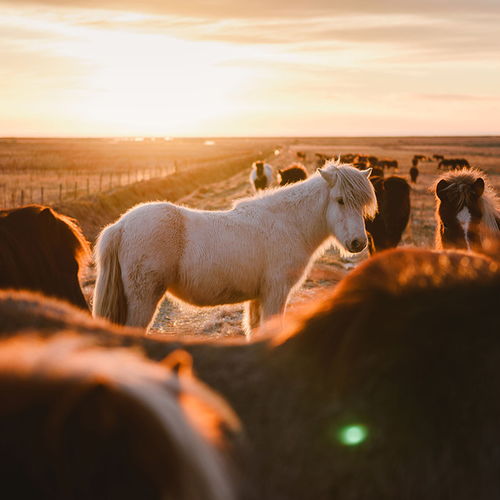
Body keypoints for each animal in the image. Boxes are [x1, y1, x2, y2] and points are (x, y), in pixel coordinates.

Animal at [93, 163, 376, 336]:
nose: (358, 243)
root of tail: (120, 226)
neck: (287, 223)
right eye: (340, 200)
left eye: (363, 205)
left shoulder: (258, 297)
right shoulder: (276, 293)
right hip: (143, 299)